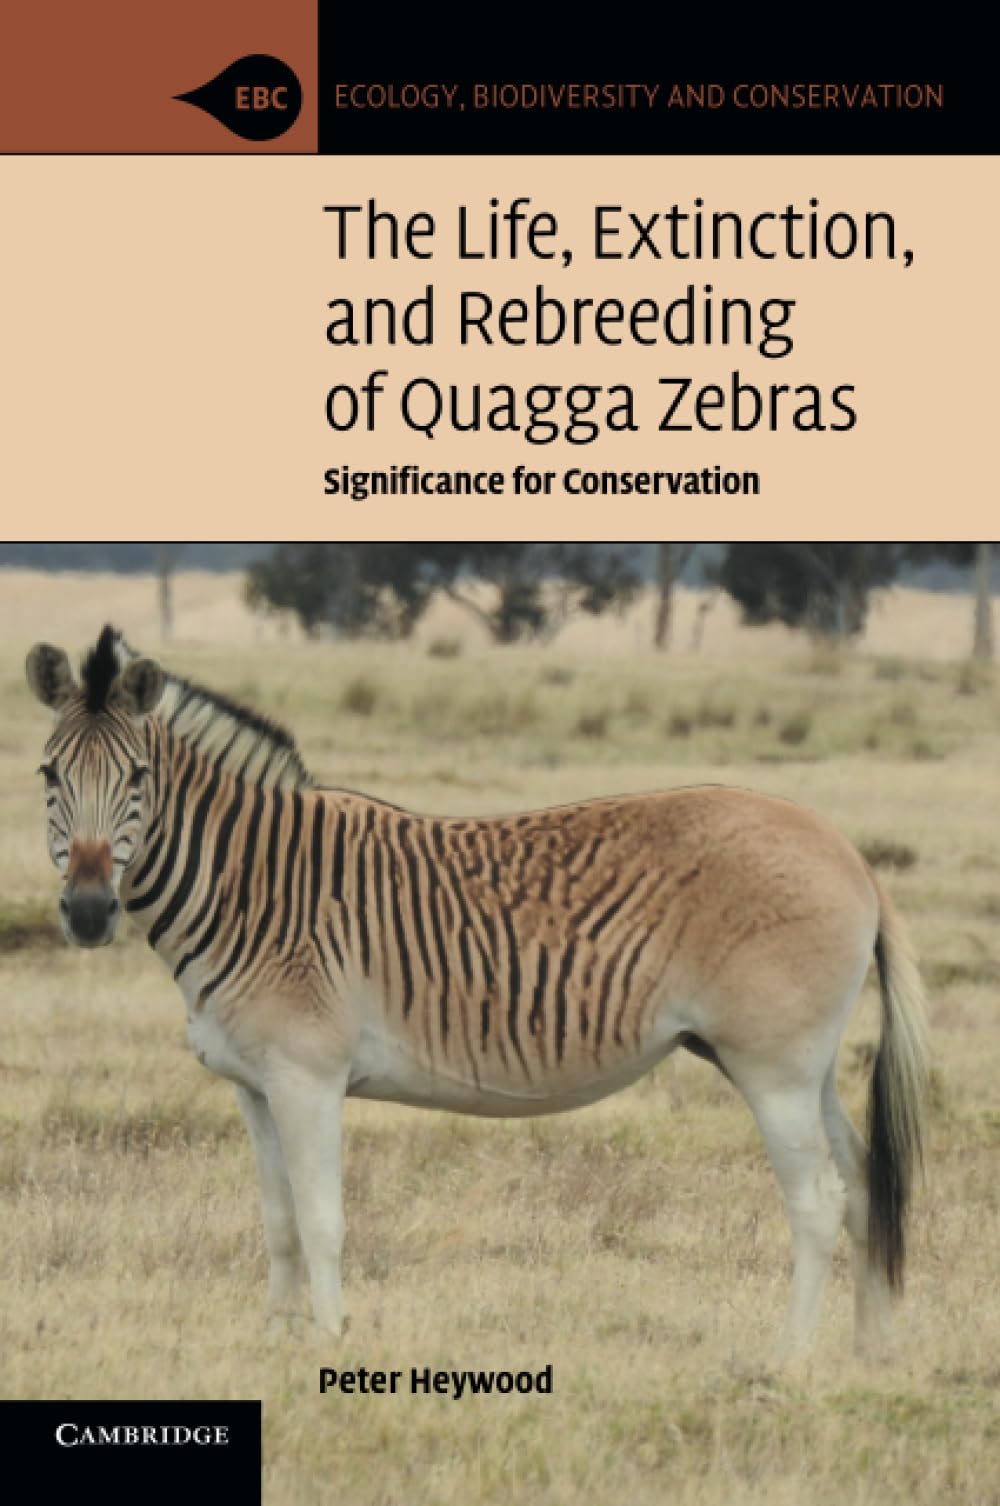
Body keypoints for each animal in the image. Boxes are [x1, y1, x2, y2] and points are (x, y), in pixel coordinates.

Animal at [26, 625, 928, 1361]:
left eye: (138, 777)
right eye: (47, 775)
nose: (89, 912)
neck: (253, 889)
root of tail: (848, 852)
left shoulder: (306, 1077)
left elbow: (321, 1220)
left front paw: (329, 1342)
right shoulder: (254, 1086)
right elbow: (278, 1223)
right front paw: (275, 1345)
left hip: (773, 1067)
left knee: (816, 1200)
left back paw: (787, 1361)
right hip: (804, 1066)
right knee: (861, 1183)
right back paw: (870, 1353)